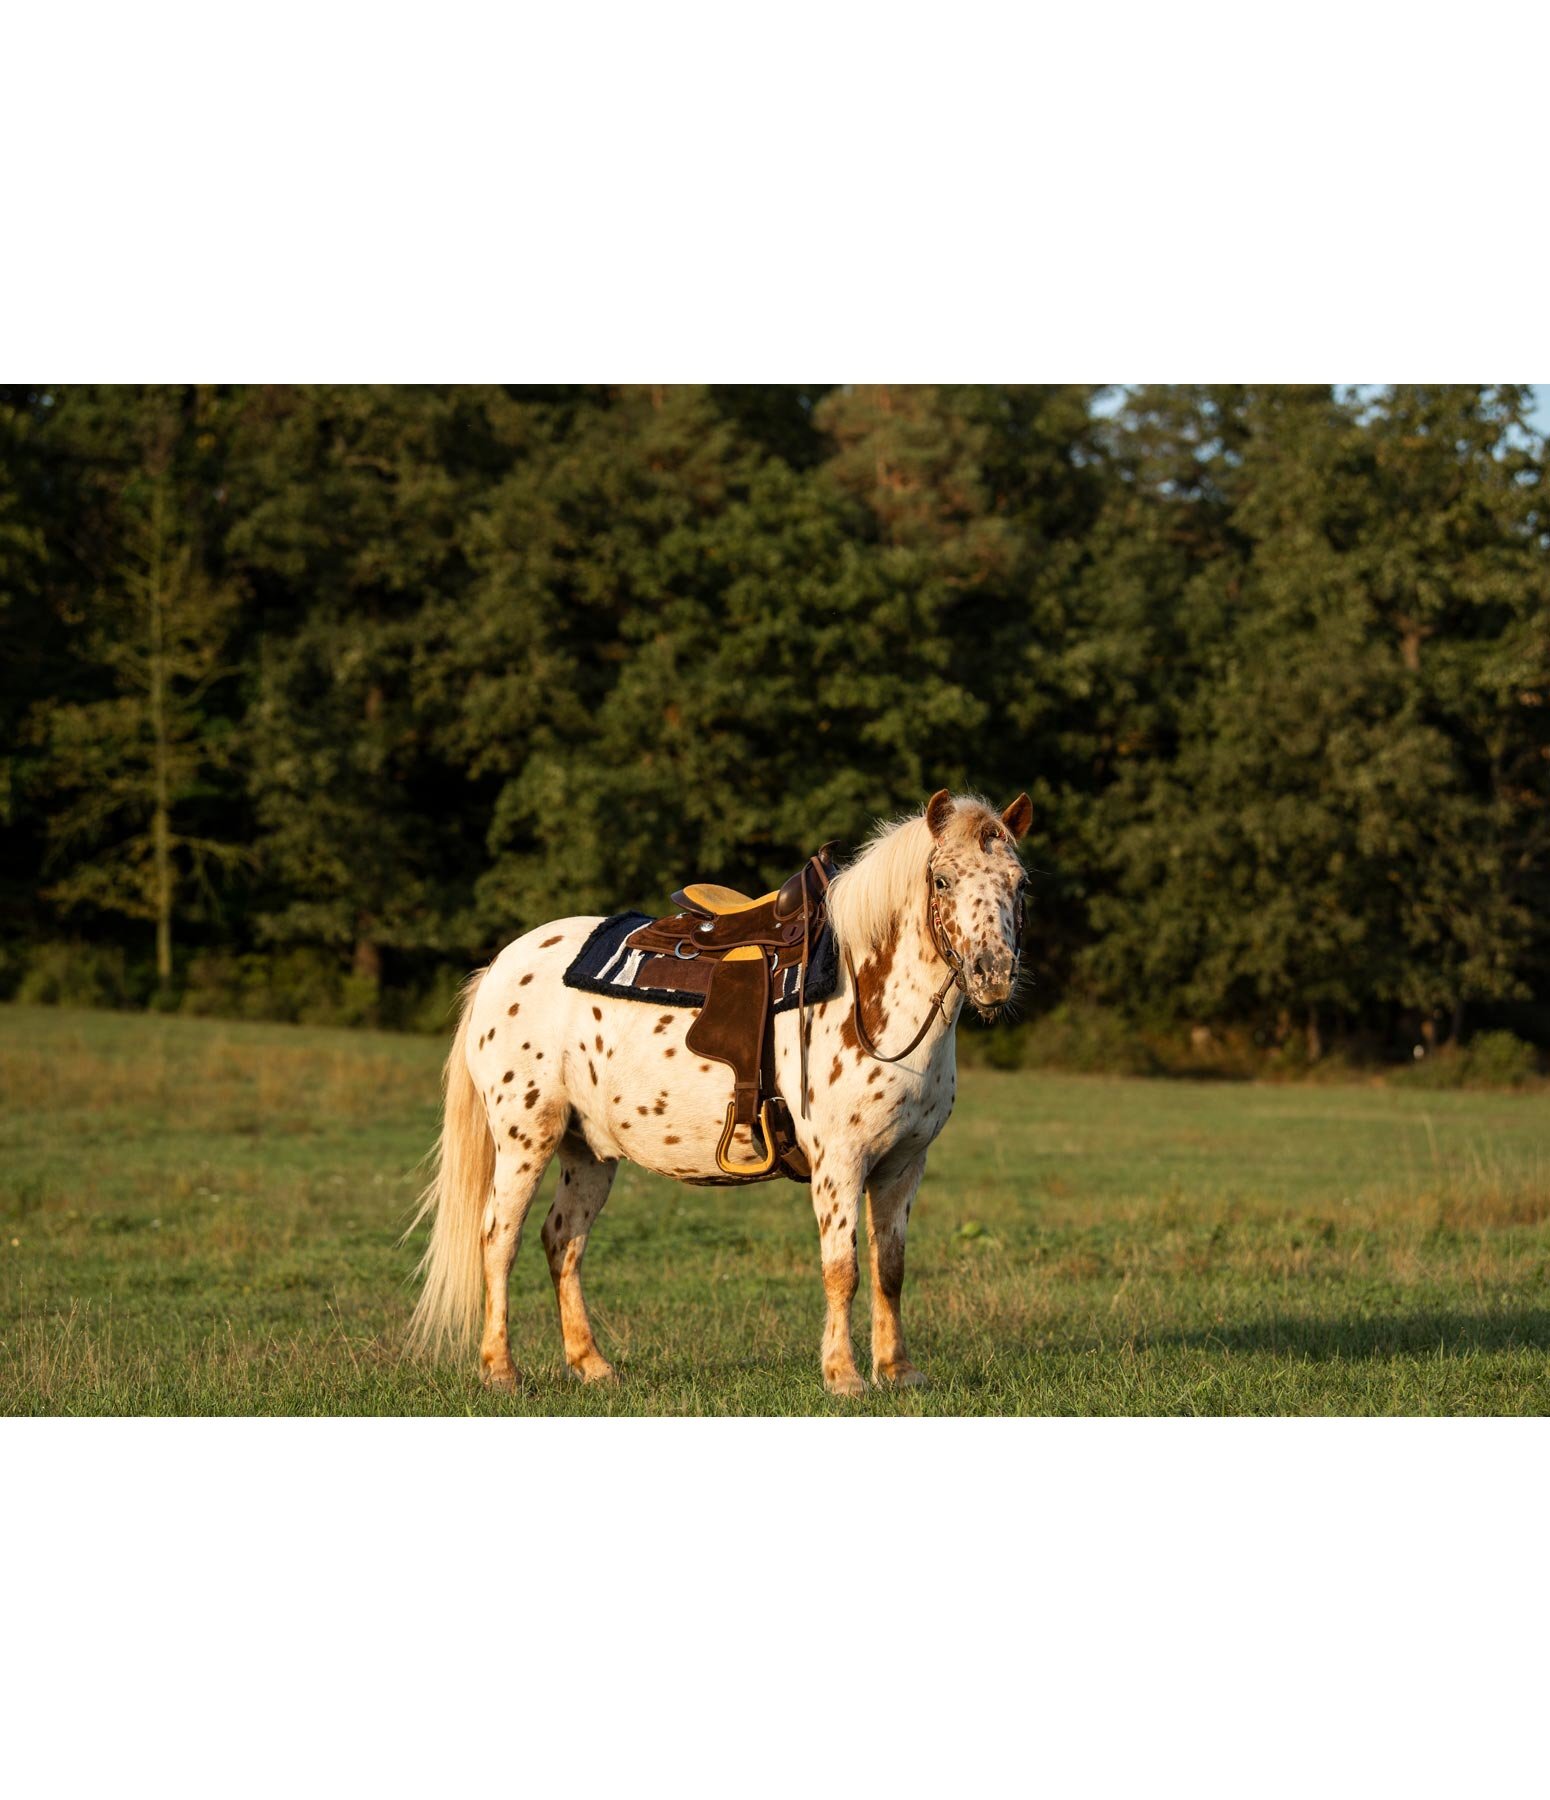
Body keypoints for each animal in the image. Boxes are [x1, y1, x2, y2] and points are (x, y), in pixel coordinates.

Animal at [407, 787, 1031, 1396]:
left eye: (1019, 883)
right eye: (942, 880)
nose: (992, 974)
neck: (867, 995)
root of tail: (499, 966)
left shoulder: (903, 1163)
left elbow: (892, 1268)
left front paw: (898, 1371)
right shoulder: (840, 1162)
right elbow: (842, 1270)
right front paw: (844, 1377)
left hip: (589, 1152)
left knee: (563, 1240)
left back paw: (592, 1365)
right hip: (525, 1139)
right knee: (499, 1239)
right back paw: (500, 1370)